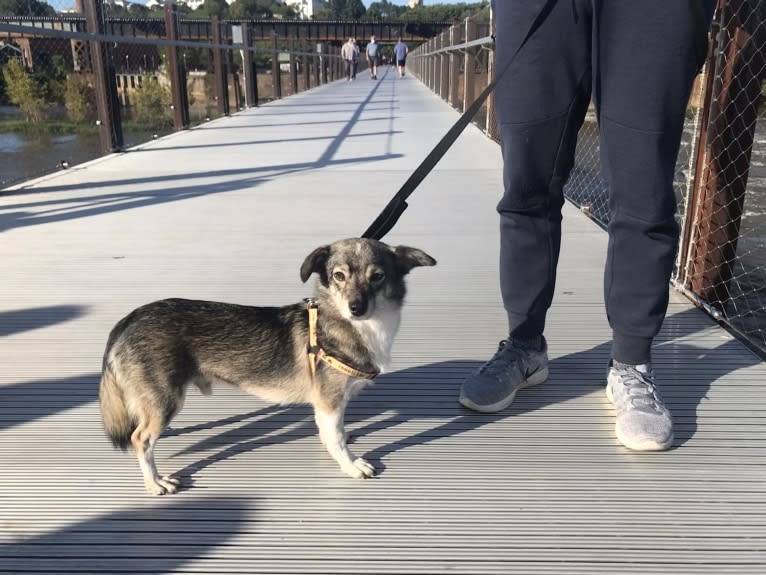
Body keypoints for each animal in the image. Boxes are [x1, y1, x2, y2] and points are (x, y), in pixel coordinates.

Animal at [99, 238, 438, 496]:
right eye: (339, 276)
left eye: (377, 276)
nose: (356, 308)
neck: (365, 328)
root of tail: (128, 320)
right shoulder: (329, 402)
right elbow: (337, 439)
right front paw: (351, 464)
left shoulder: (330, 406)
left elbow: (332, 433)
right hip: (167, 399)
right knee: (140, 439)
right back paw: (155, 482)